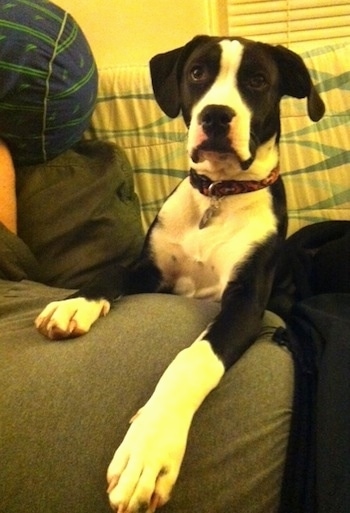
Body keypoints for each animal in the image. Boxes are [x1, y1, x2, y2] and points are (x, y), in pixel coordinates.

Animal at [35, 37, 326, 512]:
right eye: (196, 73)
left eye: (257, 80)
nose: (216, 116)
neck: (219, 195)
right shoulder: (150, 270)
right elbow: (110, 274)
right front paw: (73, 305)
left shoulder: (245, 301)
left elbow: (191, 360)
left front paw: (149, 448)